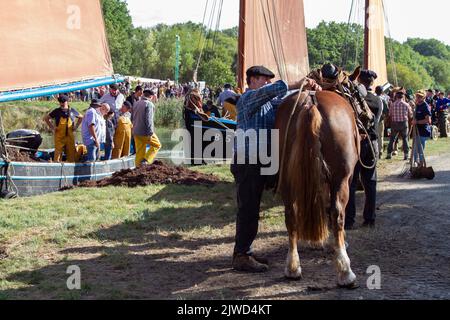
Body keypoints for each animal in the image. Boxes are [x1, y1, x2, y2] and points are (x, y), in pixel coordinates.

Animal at [276, 89, 360, 288]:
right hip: (340, 180)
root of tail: (310, 102)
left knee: (291, 215)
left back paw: (292, 267)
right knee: (337, 214)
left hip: (287, 179)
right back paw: (345, 272)